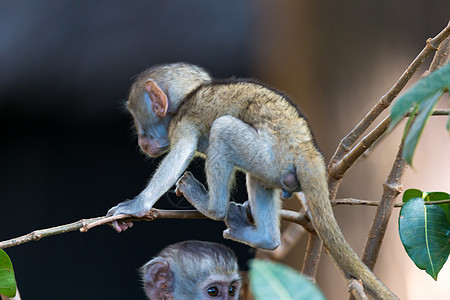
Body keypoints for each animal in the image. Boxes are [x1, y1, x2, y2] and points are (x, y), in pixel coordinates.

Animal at [109, 62, 398, 298]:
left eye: (137, 118)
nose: (141, 140)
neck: (188, 96)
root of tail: (306, 146)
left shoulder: (182, 123)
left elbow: (181, 151)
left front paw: (137, 206)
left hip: (269, 154)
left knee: (223, 128)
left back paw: (212, 206)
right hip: (274, 165)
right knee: (262, 180)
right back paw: (266, 239)